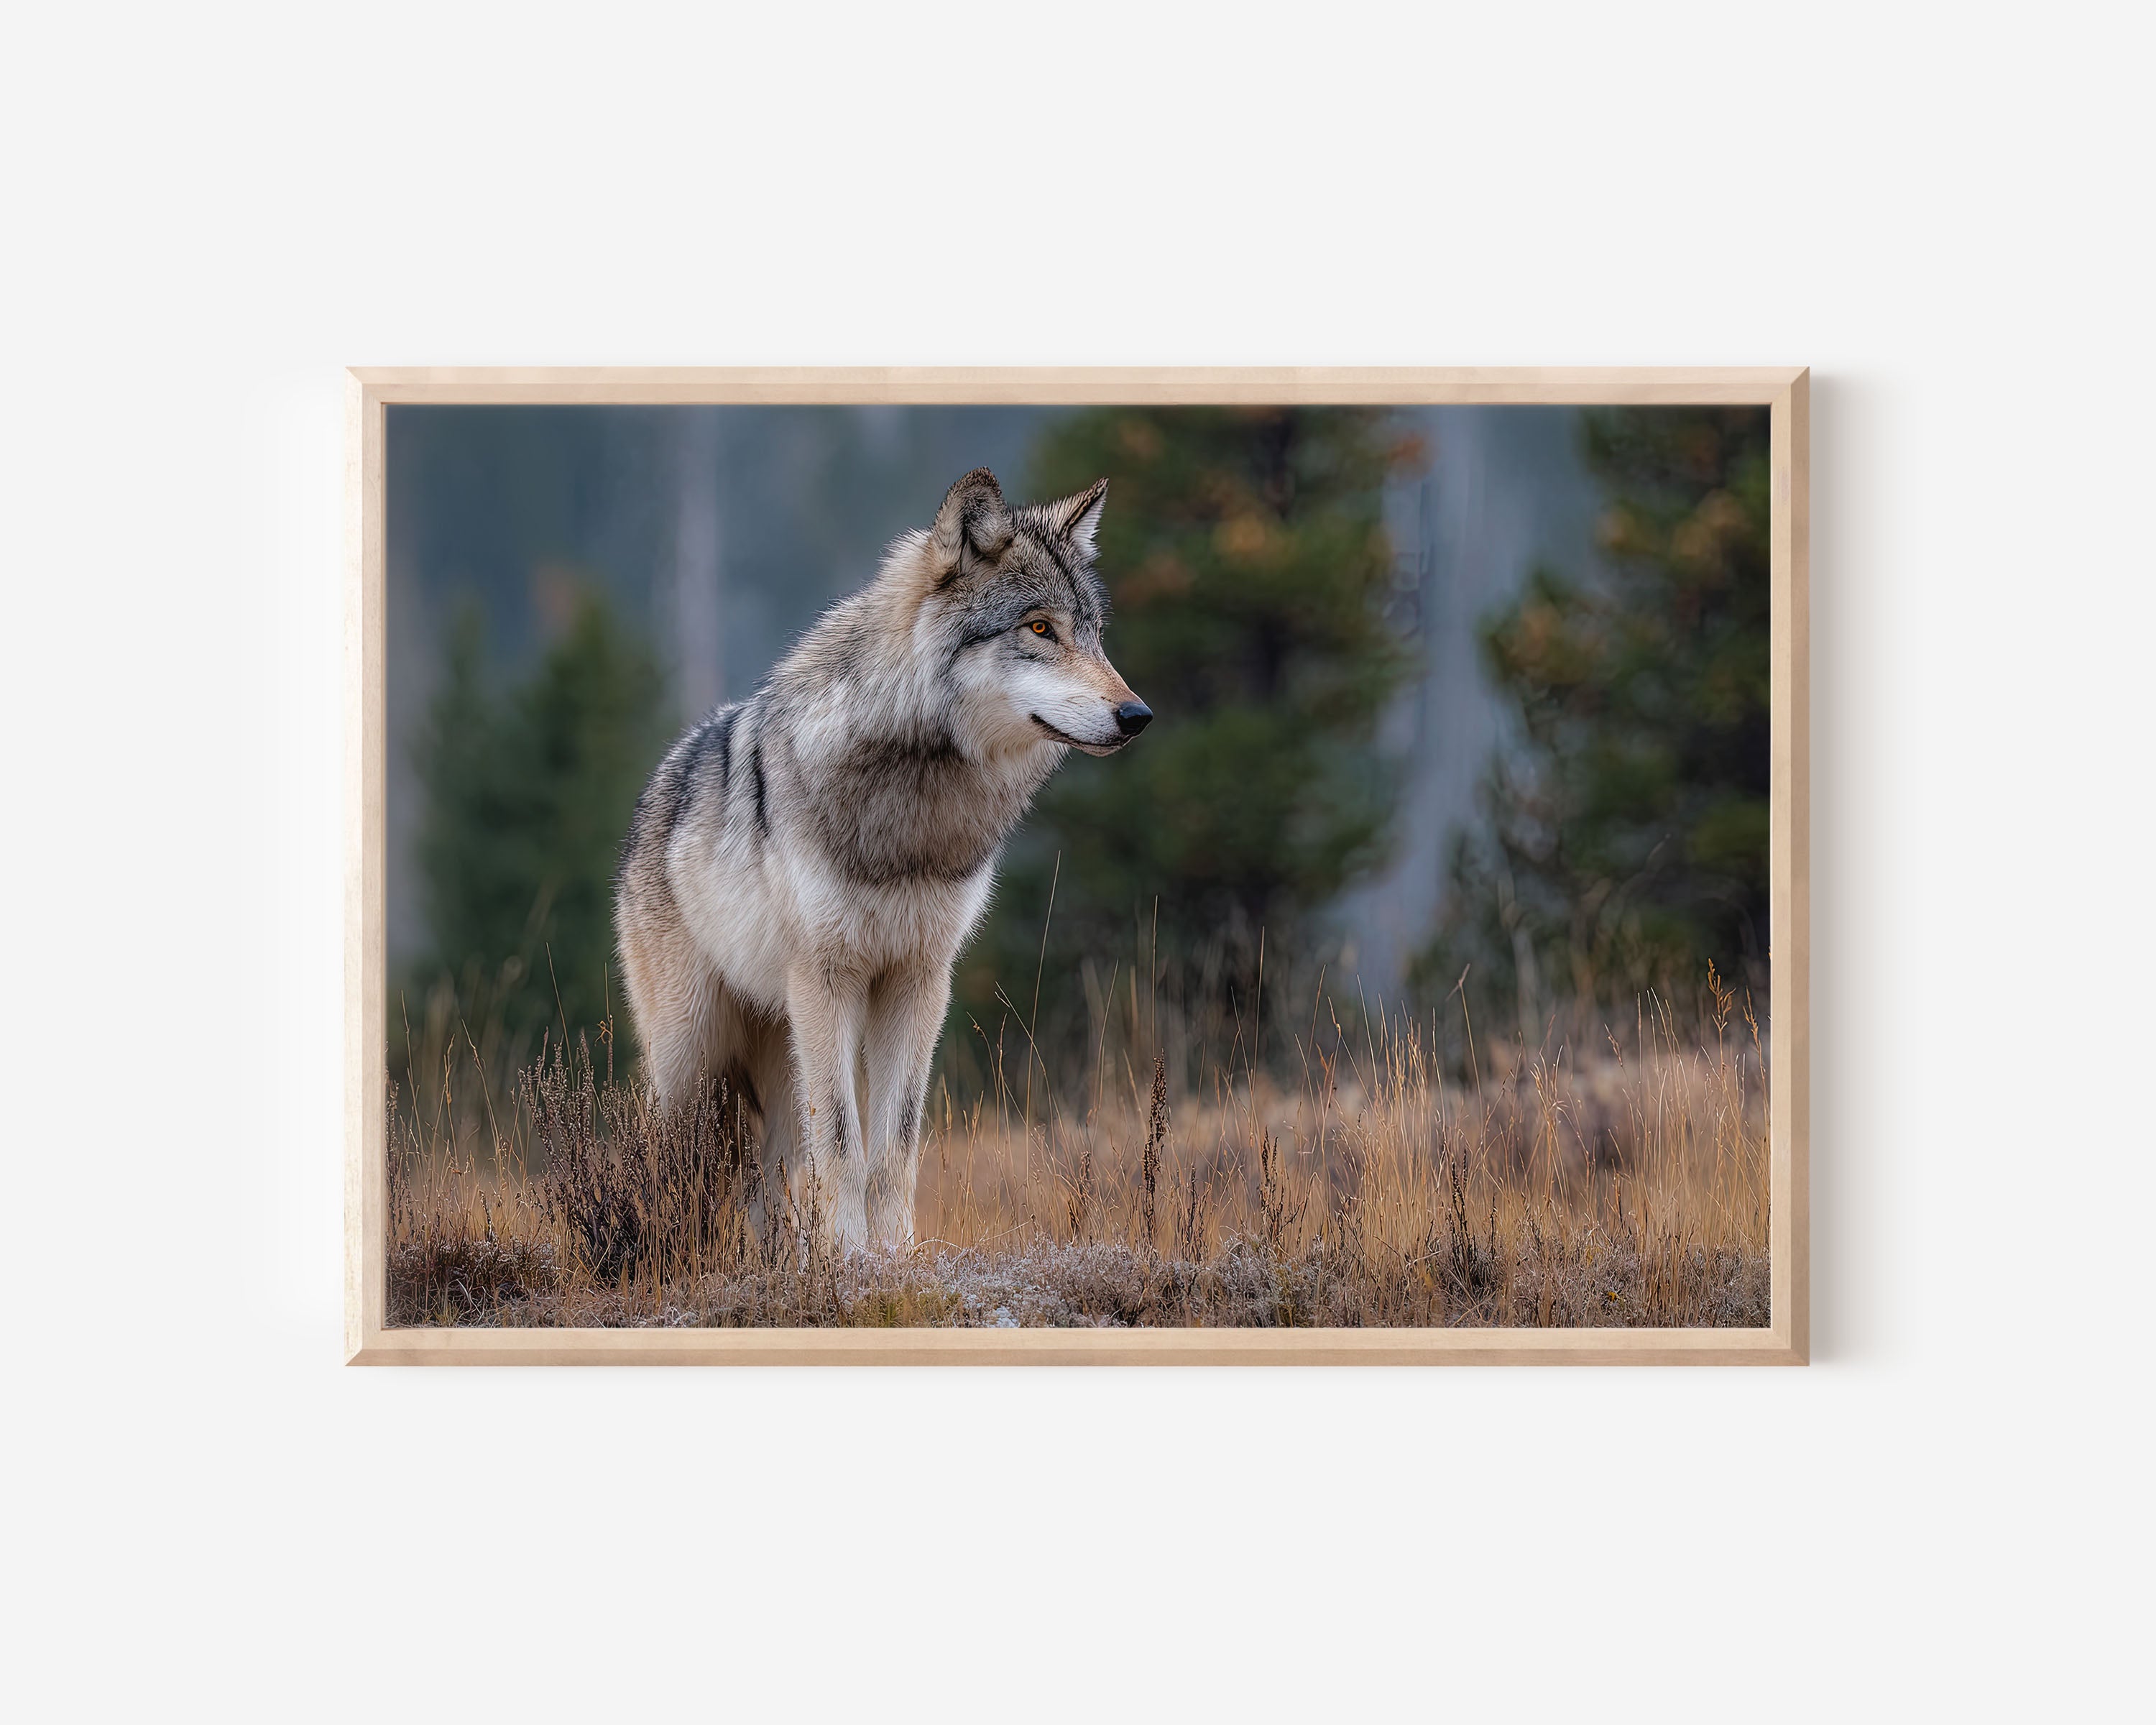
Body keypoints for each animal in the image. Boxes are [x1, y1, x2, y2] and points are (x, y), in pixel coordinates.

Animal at [614, 467, 1150, 1249]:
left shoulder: (920, 980)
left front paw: (893, 1257)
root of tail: (658, 784)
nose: (1138, 715)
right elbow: (843, 1142)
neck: (916, 803)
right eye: (1039, 628)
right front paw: (848, 1257)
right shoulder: (829, 978)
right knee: (675, 1166)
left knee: (768, 1182)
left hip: (780, 1060)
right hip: (693, 1060)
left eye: (1094, 634)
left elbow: (894, 1145)